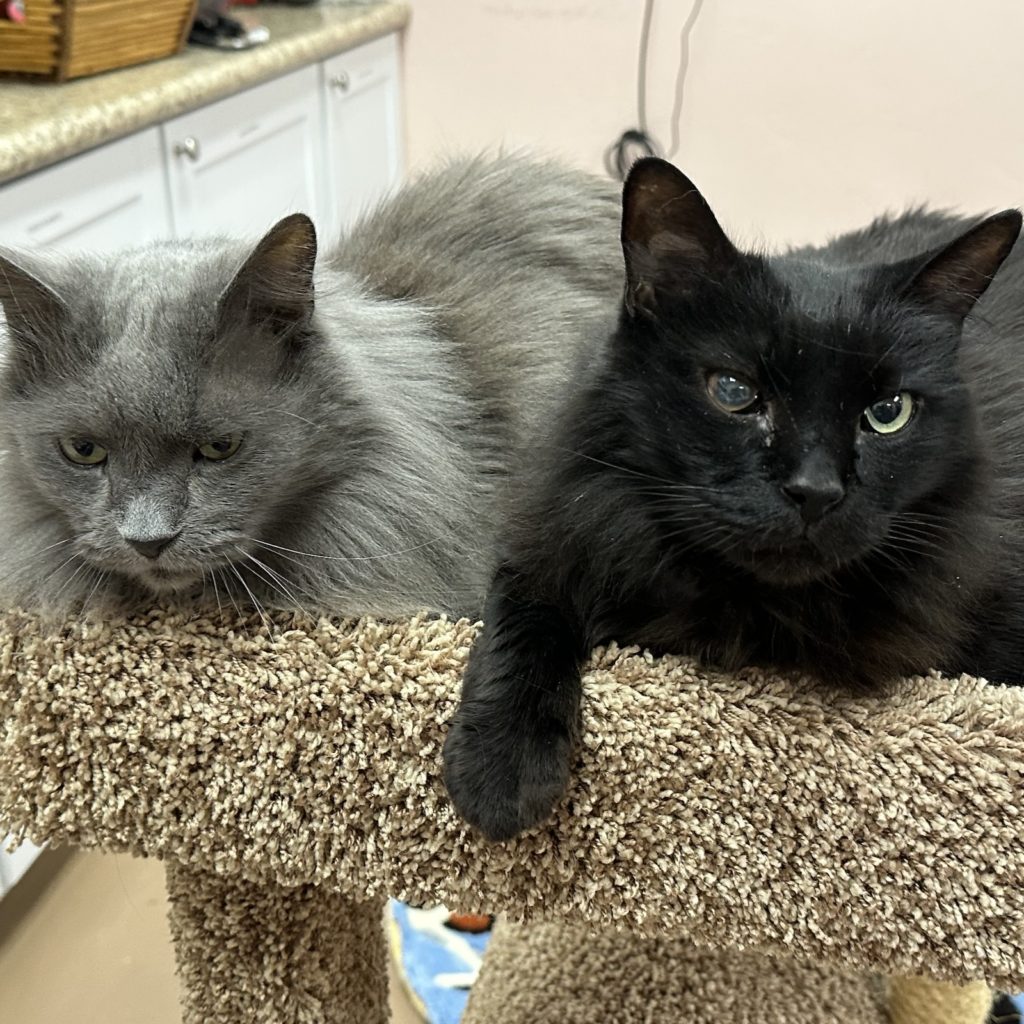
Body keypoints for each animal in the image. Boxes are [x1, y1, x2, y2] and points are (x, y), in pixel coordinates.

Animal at [443, 156, 1024, 841]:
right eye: (733, 391)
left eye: (887, 413)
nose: (815, 492)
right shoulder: (557, 535)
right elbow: (519, 625)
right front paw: (499, 769)